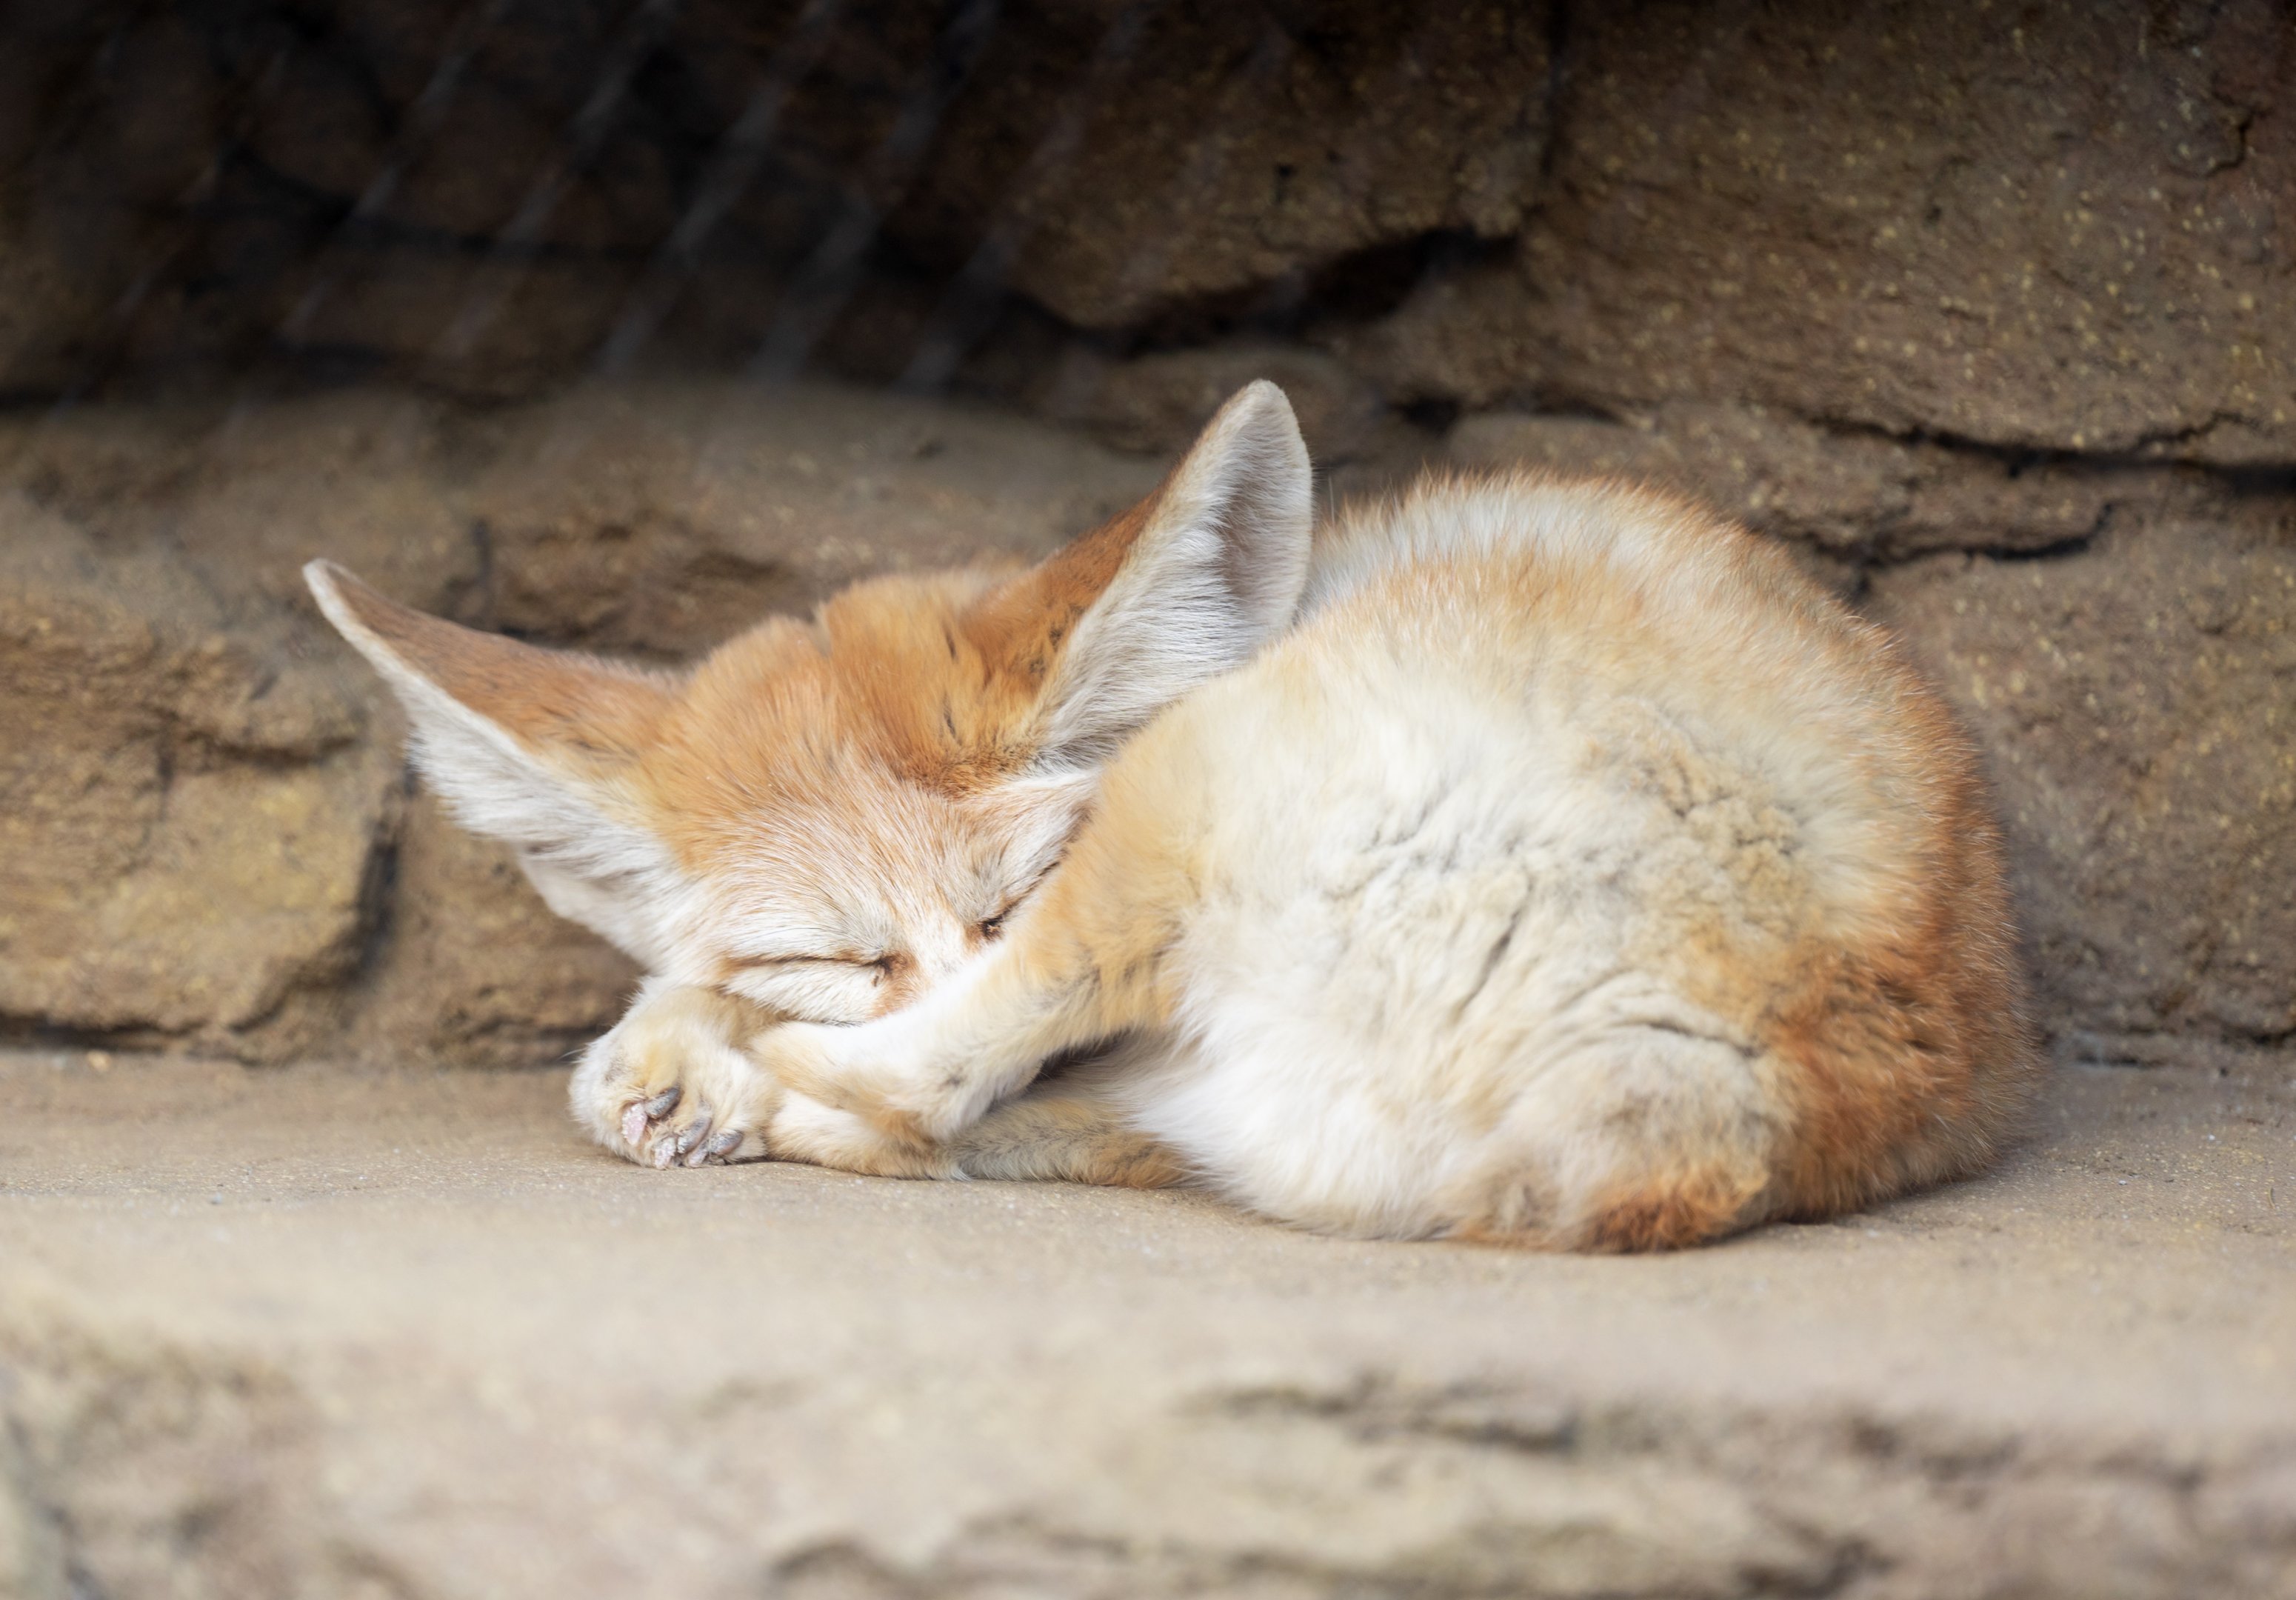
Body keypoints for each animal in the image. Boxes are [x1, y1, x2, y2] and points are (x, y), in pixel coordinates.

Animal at [308, 380, 2038, 1249]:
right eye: (838, 948)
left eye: (1001, 897)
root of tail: (1754, 1076)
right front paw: (685, 1048)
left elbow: (919, 1055)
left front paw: (695, 1048)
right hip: (1262, 1122)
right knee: (985, 1128)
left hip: (1188, 791)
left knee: (928, 1099)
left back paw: (777, 1086)